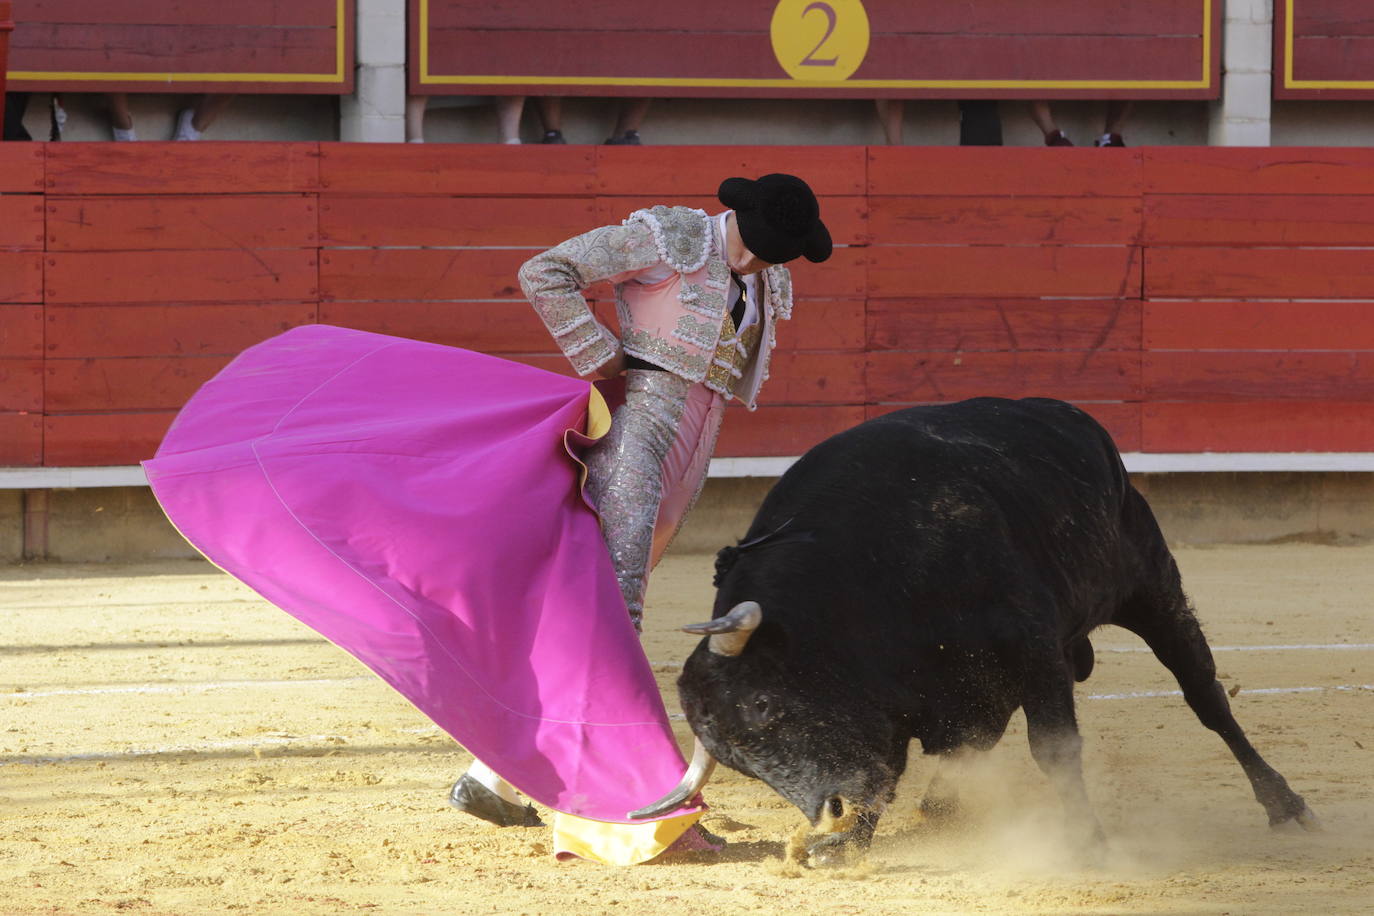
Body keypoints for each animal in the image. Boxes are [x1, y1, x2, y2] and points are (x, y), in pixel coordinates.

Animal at [637, 398, 1313, 856]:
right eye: (741, 765)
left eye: (764, 704)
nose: (828, 819)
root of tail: (1073, 418)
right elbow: (894, 767)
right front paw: (846, 844)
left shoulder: (1033, 650)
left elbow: (1054, 748)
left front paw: (1087, 842)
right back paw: (943, 806)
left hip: (1152, 588)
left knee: (1205, 695)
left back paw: (1286, 804)